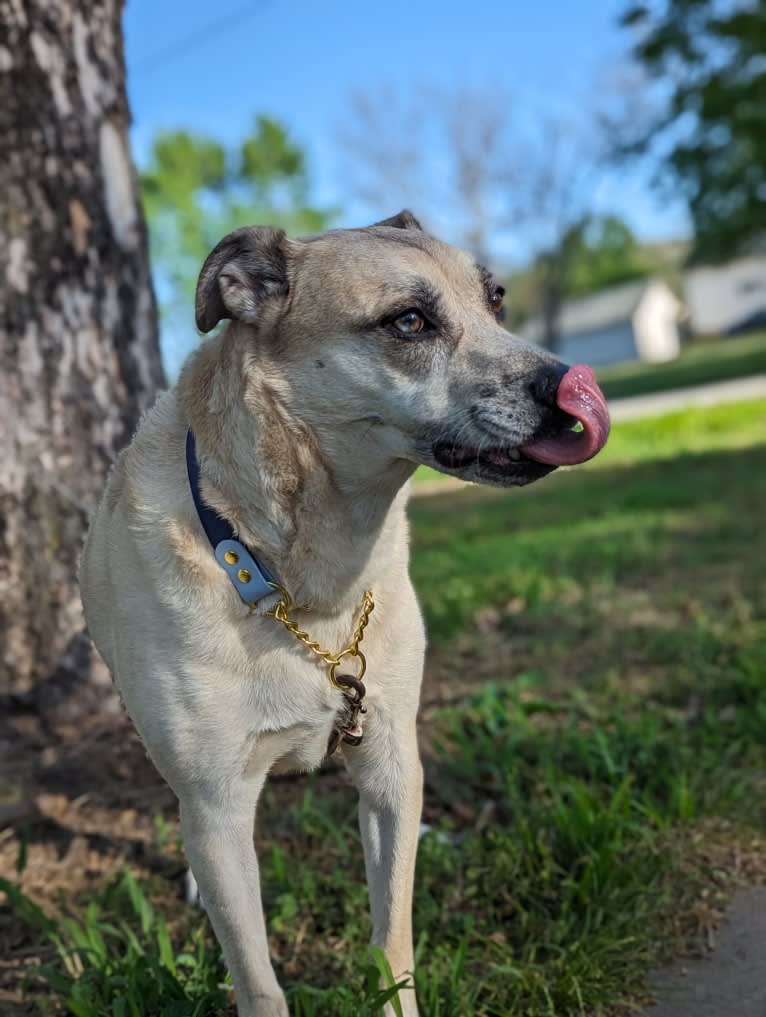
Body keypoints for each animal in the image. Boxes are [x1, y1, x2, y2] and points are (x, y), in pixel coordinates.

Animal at [80, 208, 610, 1016]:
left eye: (495, 300)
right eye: (409, 321)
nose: (573, 386)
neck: (300, 580)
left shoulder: (390, 763)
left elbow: (392, 939)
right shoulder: (216, 801)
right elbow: (258, 980)